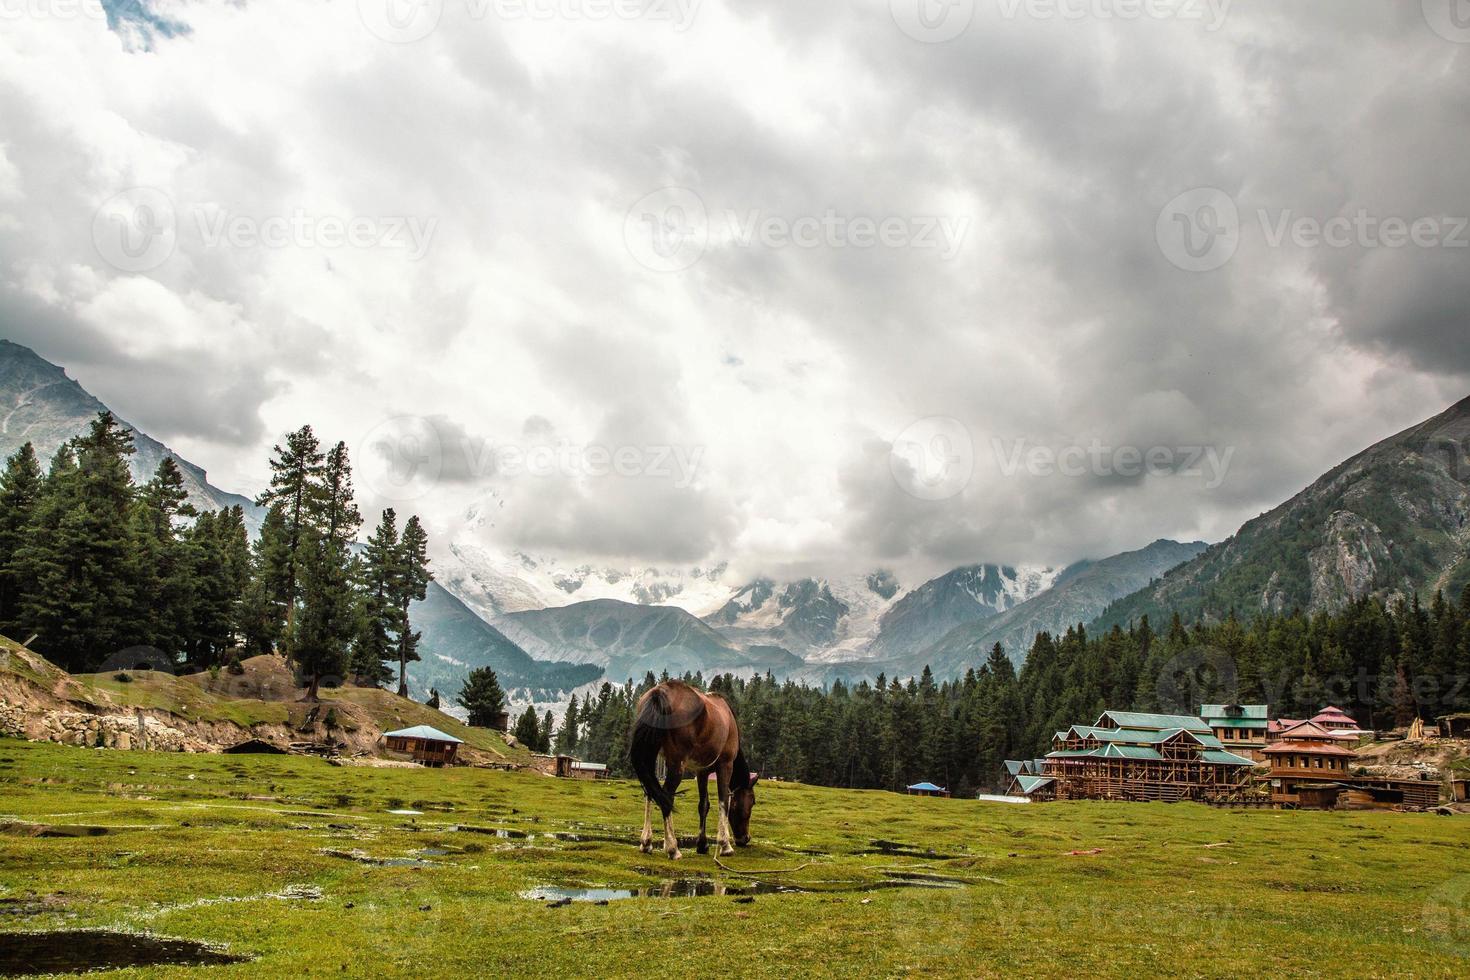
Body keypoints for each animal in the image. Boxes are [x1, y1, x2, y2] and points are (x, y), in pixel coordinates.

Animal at [629, 681, 758, 858]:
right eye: (752, 802)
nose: (745, 838)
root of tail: (659, 692)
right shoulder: (725, 764)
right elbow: (723, 800)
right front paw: (725, 845)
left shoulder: (702, 771)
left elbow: (703, 805)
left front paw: (702, 845)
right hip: (677, 764)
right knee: (667, 796)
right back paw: (673, 848)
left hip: (652, 757)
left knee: (649, 793)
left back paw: (646, 843)